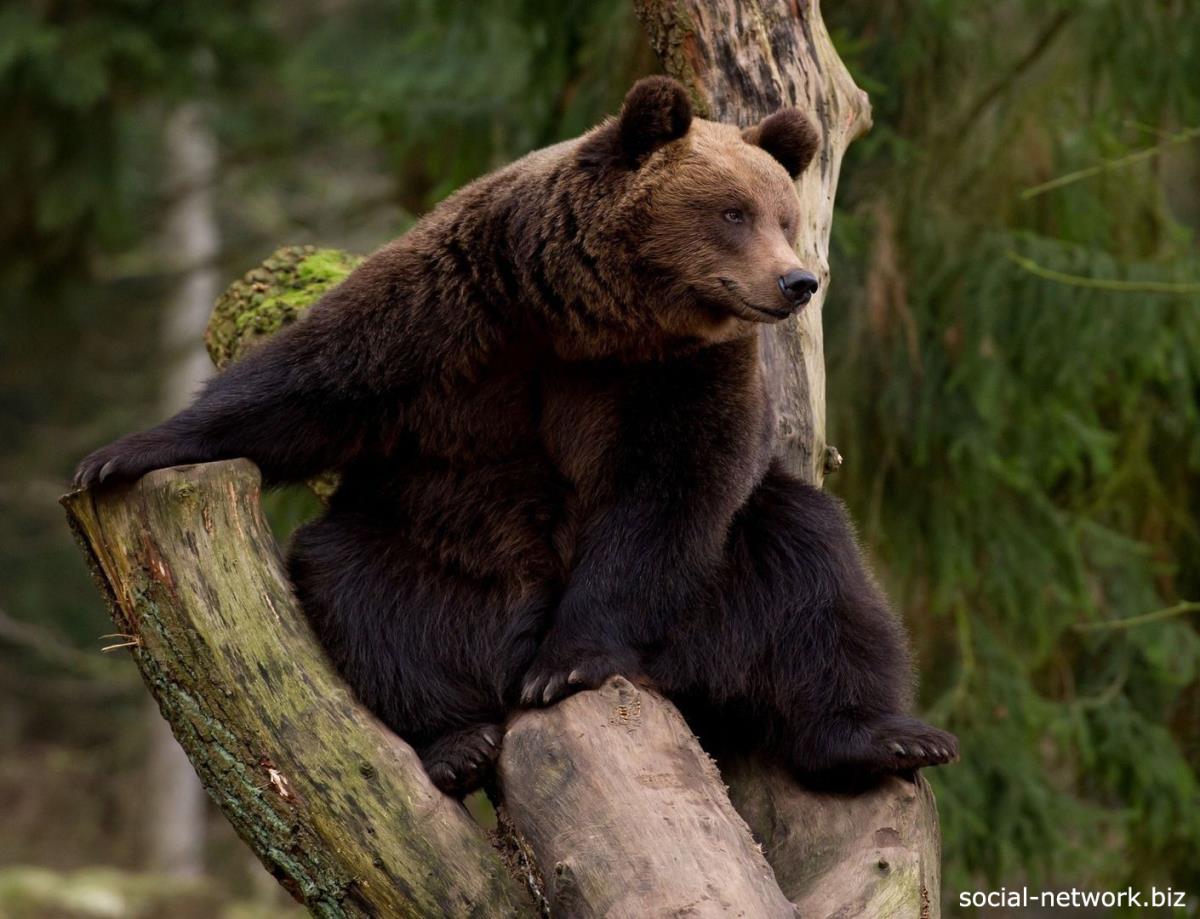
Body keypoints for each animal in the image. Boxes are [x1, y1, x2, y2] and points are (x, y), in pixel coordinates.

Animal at [77, 77, 955, 796]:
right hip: (437, 553)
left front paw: (568, 659)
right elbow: (309, 386)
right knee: (357, 589)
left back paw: (886, 737)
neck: (591, 319)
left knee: (819, 579)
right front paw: (120, 452)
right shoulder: (458, 305)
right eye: (732, 211)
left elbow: (672, 491)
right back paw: (456, 739)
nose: (796, 280)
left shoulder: (686, 375)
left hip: (715, 589)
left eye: (784, 216)